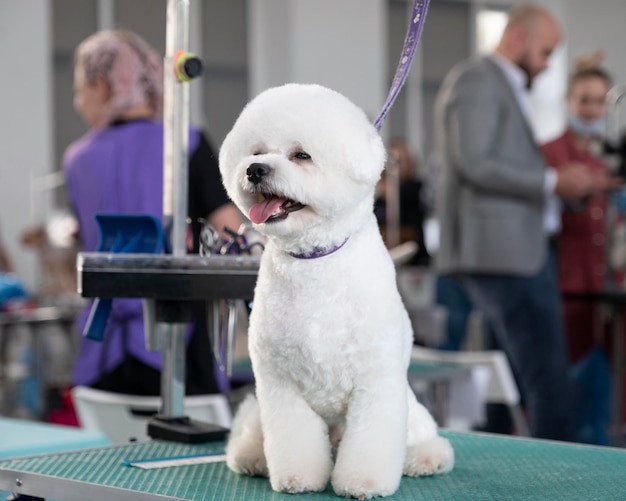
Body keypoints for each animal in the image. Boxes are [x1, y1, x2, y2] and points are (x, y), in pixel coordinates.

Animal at [217, 84, 450, 498]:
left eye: (301, 155)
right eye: (256, 151)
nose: (255, 170)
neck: (314, 263)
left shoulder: (376, 380)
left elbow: (371, 441)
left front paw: (364, 483)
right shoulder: (279, 385)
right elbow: (292, 440)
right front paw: (297, 478)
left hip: (408, 407)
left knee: (422, 435)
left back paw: (426, 457)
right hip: (260, 411)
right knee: (254, 435)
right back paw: (253, 456)